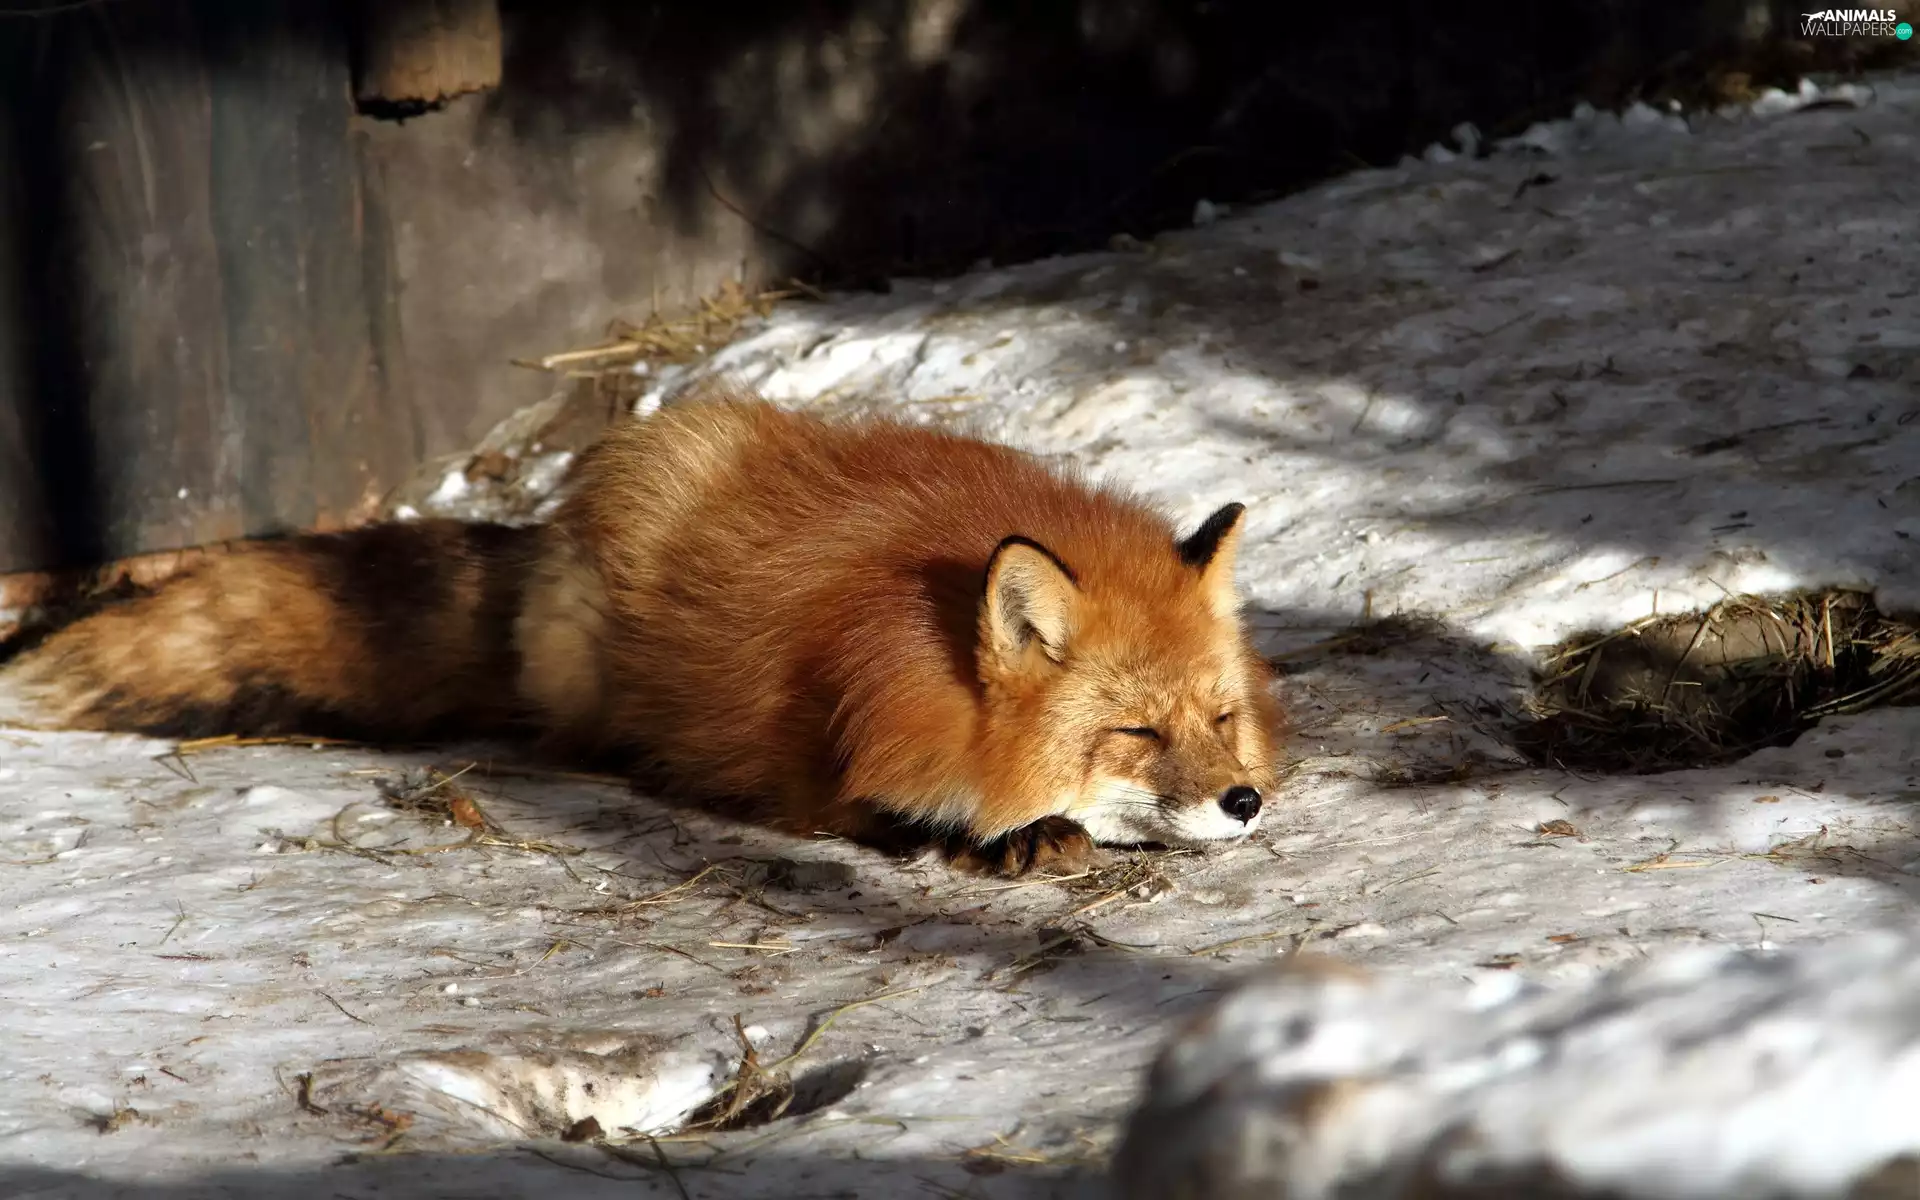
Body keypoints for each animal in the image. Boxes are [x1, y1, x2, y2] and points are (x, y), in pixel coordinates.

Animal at [2, 390, 1283, 875]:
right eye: (1133, 732)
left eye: (1222, 720)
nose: (1244, 802)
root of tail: (552, 528)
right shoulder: (821, 755)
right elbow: (882, 810)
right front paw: (1002, 835)